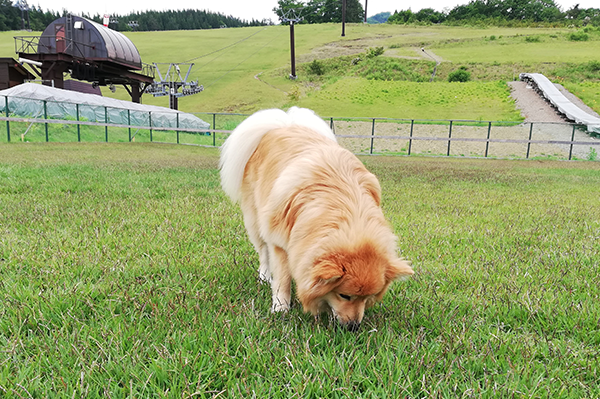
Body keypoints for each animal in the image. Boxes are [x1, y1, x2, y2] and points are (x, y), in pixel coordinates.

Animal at [220, 107, 412, 332]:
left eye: (367, 298)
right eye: (344, 295)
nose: (354, 327)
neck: (345, 209)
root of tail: (284, 124)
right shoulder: (281, 243)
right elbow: (283, 279)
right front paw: (280, 308)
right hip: (256, 222)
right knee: (263, 253)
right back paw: (264, 276)